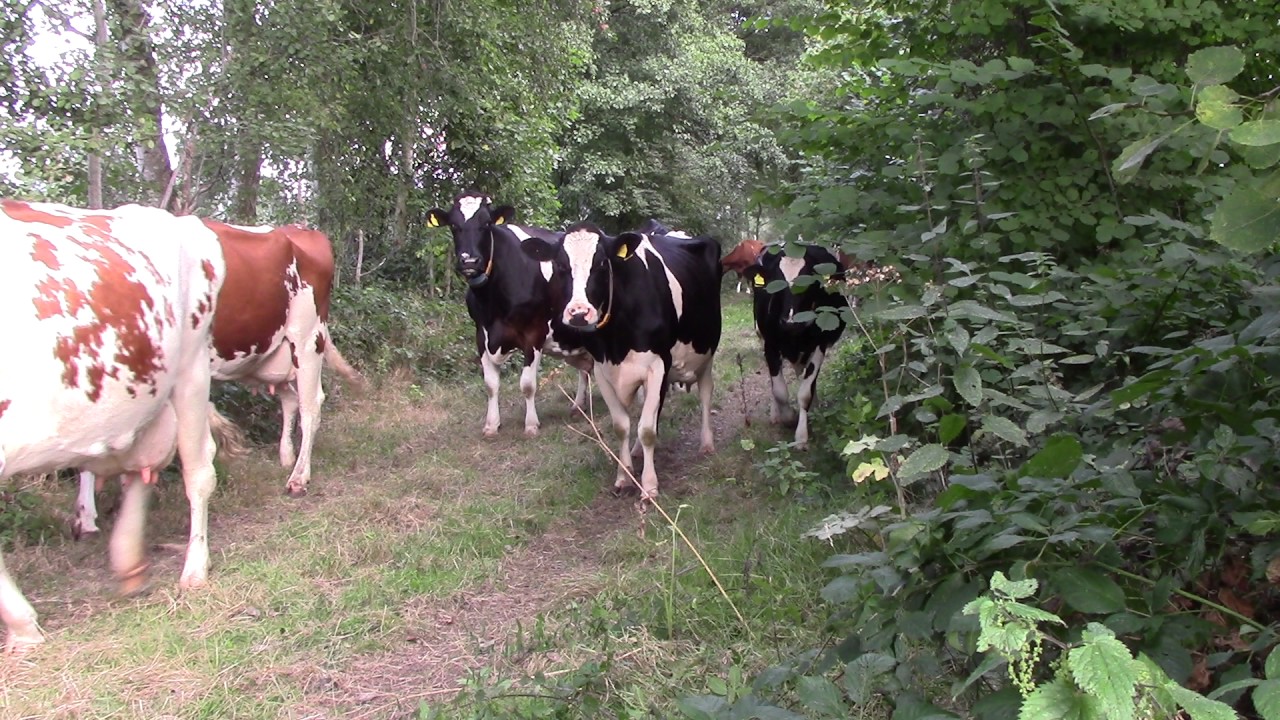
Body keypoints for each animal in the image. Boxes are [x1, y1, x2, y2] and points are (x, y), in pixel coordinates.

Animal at [0, 200, 231, 652]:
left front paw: (23, 627)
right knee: (141, 468)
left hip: (191, 367)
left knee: (198, 470)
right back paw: (128, 561)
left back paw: (194, 569)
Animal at [71, 221, 364, 539]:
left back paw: (298, 477)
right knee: (289, 399)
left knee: (311, 405)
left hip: (308, 338)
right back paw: (286, 457)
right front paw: (87, 517)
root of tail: (301, 231)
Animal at [426, 192, 592, 437]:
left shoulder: (534, 333)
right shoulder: (481, 335)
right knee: (585, 369)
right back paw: (578, 407)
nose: (469, 261)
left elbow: (527, 384)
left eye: (486, 224)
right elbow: (490, 384)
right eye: (454, 226)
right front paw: (491, 424)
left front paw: (531, 425)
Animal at [522, 222, 722, 500]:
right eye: (561, 265)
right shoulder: (602, 369)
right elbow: (622, 426)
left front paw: (649, 486)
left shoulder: (657, 365)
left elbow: (647, 429)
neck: (616, 340)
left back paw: (707, 444)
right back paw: (637, 451)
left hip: (706, 353)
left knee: (705, 393)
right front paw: (624, 476)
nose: (579, 313)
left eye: (601, 263)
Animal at [722, 240, 847, 449]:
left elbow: (805, 392)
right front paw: (788, 418)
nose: (790, 321)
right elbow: (779, 390)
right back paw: (776, 414)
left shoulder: (819, 345)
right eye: (774, 282)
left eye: (810, 282)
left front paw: (802, 436)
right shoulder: (770, 345)